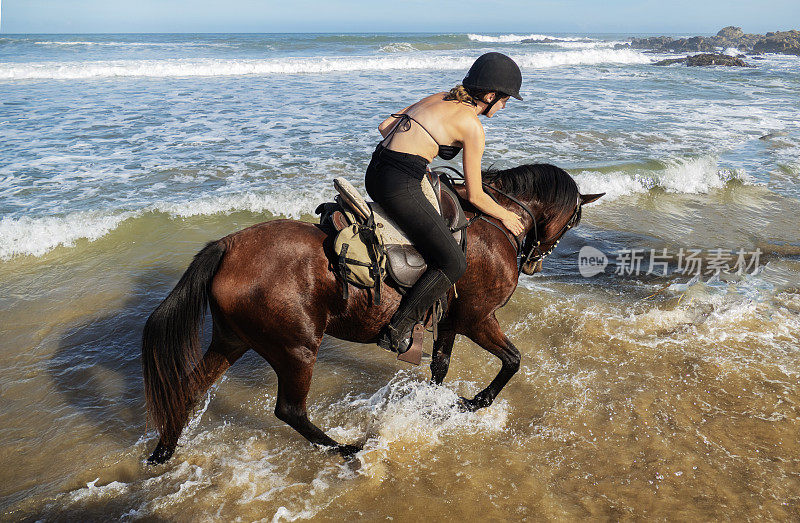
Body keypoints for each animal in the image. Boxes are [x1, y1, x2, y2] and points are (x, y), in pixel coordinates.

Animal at [144, 163, 604, 462]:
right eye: (574, 220)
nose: (536, 262)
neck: (494, 223)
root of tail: (227, 247)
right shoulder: (477, 319)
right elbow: (513, 360)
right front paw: (476, 402)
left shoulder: (452, 321)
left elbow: (440, 366)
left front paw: (432, 406)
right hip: (296, 348)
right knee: (290, 411)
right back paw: (344, 448)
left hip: (233, 339)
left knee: (190, 386)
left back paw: (165, 448)